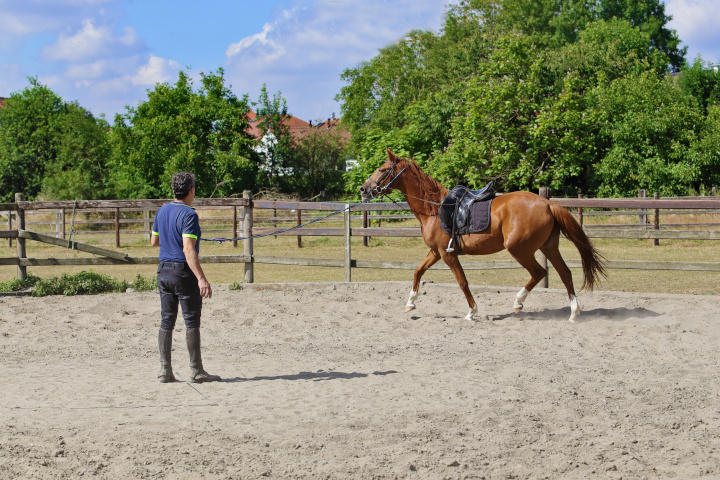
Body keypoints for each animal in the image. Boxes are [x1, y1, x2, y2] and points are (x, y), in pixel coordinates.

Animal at [360, 149, 608, 322]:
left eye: (382, 169)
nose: (363, 189)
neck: (434, 208)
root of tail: (547, 203)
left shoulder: (447, 254)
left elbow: (462, 281)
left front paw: (472, 311)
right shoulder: (436, 252)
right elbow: (418, 271)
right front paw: (411, 303)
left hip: (520, 249)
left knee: (539, 272)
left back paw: (518, 303)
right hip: (548, 246)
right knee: (565, 273)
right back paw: (574, 313)